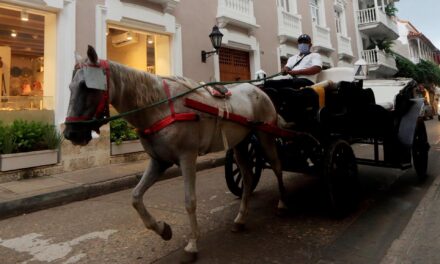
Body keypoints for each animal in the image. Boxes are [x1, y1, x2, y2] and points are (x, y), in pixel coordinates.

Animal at [63, 46, 288, 262]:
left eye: (87, 87)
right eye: (70, 87)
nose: (70, 133)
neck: (160, 107)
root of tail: (258, 89)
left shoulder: (187, 157)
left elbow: (189, 201)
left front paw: (192, 244)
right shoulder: (159, 161)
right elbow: (135, 197)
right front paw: (162, 229)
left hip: (266, 137)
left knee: (277, 167)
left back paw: (282, 203)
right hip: (240, 144)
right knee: (248, 177)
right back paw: (240, 219)